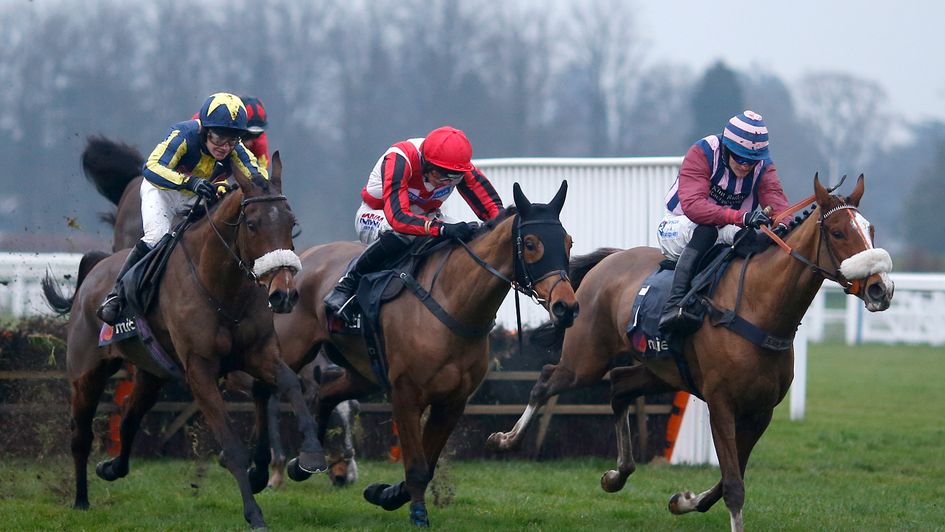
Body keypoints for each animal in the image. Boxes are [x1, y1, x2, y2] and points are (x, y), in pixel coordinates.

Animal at [44, 156, 328, 528]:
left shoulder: (260, 354)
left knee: (130, 418)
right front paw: (254, 513)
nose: (283, 295)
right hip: (86, 373)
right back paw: (80, 501)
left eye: (291, 223)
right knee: (81, 435)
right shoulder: (200, 371)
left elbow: (291, 384)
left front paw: (309, 457)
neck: (222, 286)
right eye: (252, 224)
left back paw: (111, 468)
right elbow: (232, 446)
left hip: (152, 374)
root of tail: (94, 270)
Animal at [272, 182, 580, 528]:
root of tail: (301, 259)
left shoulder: (452, 402)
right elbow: (418, 465)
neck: (452, 303)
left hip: (363, 374)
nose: (566, 307)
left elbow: (428, 463)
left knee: (326, 393)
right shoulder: (406, 395)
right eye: (530, 244)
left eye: (568, 242)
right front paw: (418, 513)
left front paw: (386, 493)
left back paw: (303, 462)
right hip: (289, 351)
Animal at [486, 172, 892, 528]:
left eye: (870, 229)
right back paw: (507, 439)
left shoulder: (761, 411)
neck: (758, 308)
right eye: (838, 232)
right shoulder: (722, 404)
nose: (881, 288)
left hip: (659, 371)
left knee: (619, 386)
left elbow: (728, 480)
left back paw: (617, 474)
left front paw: (683, 501)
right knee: (546, 380)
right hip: (585, 359)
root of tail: (610, 259)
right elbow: (733, 486)